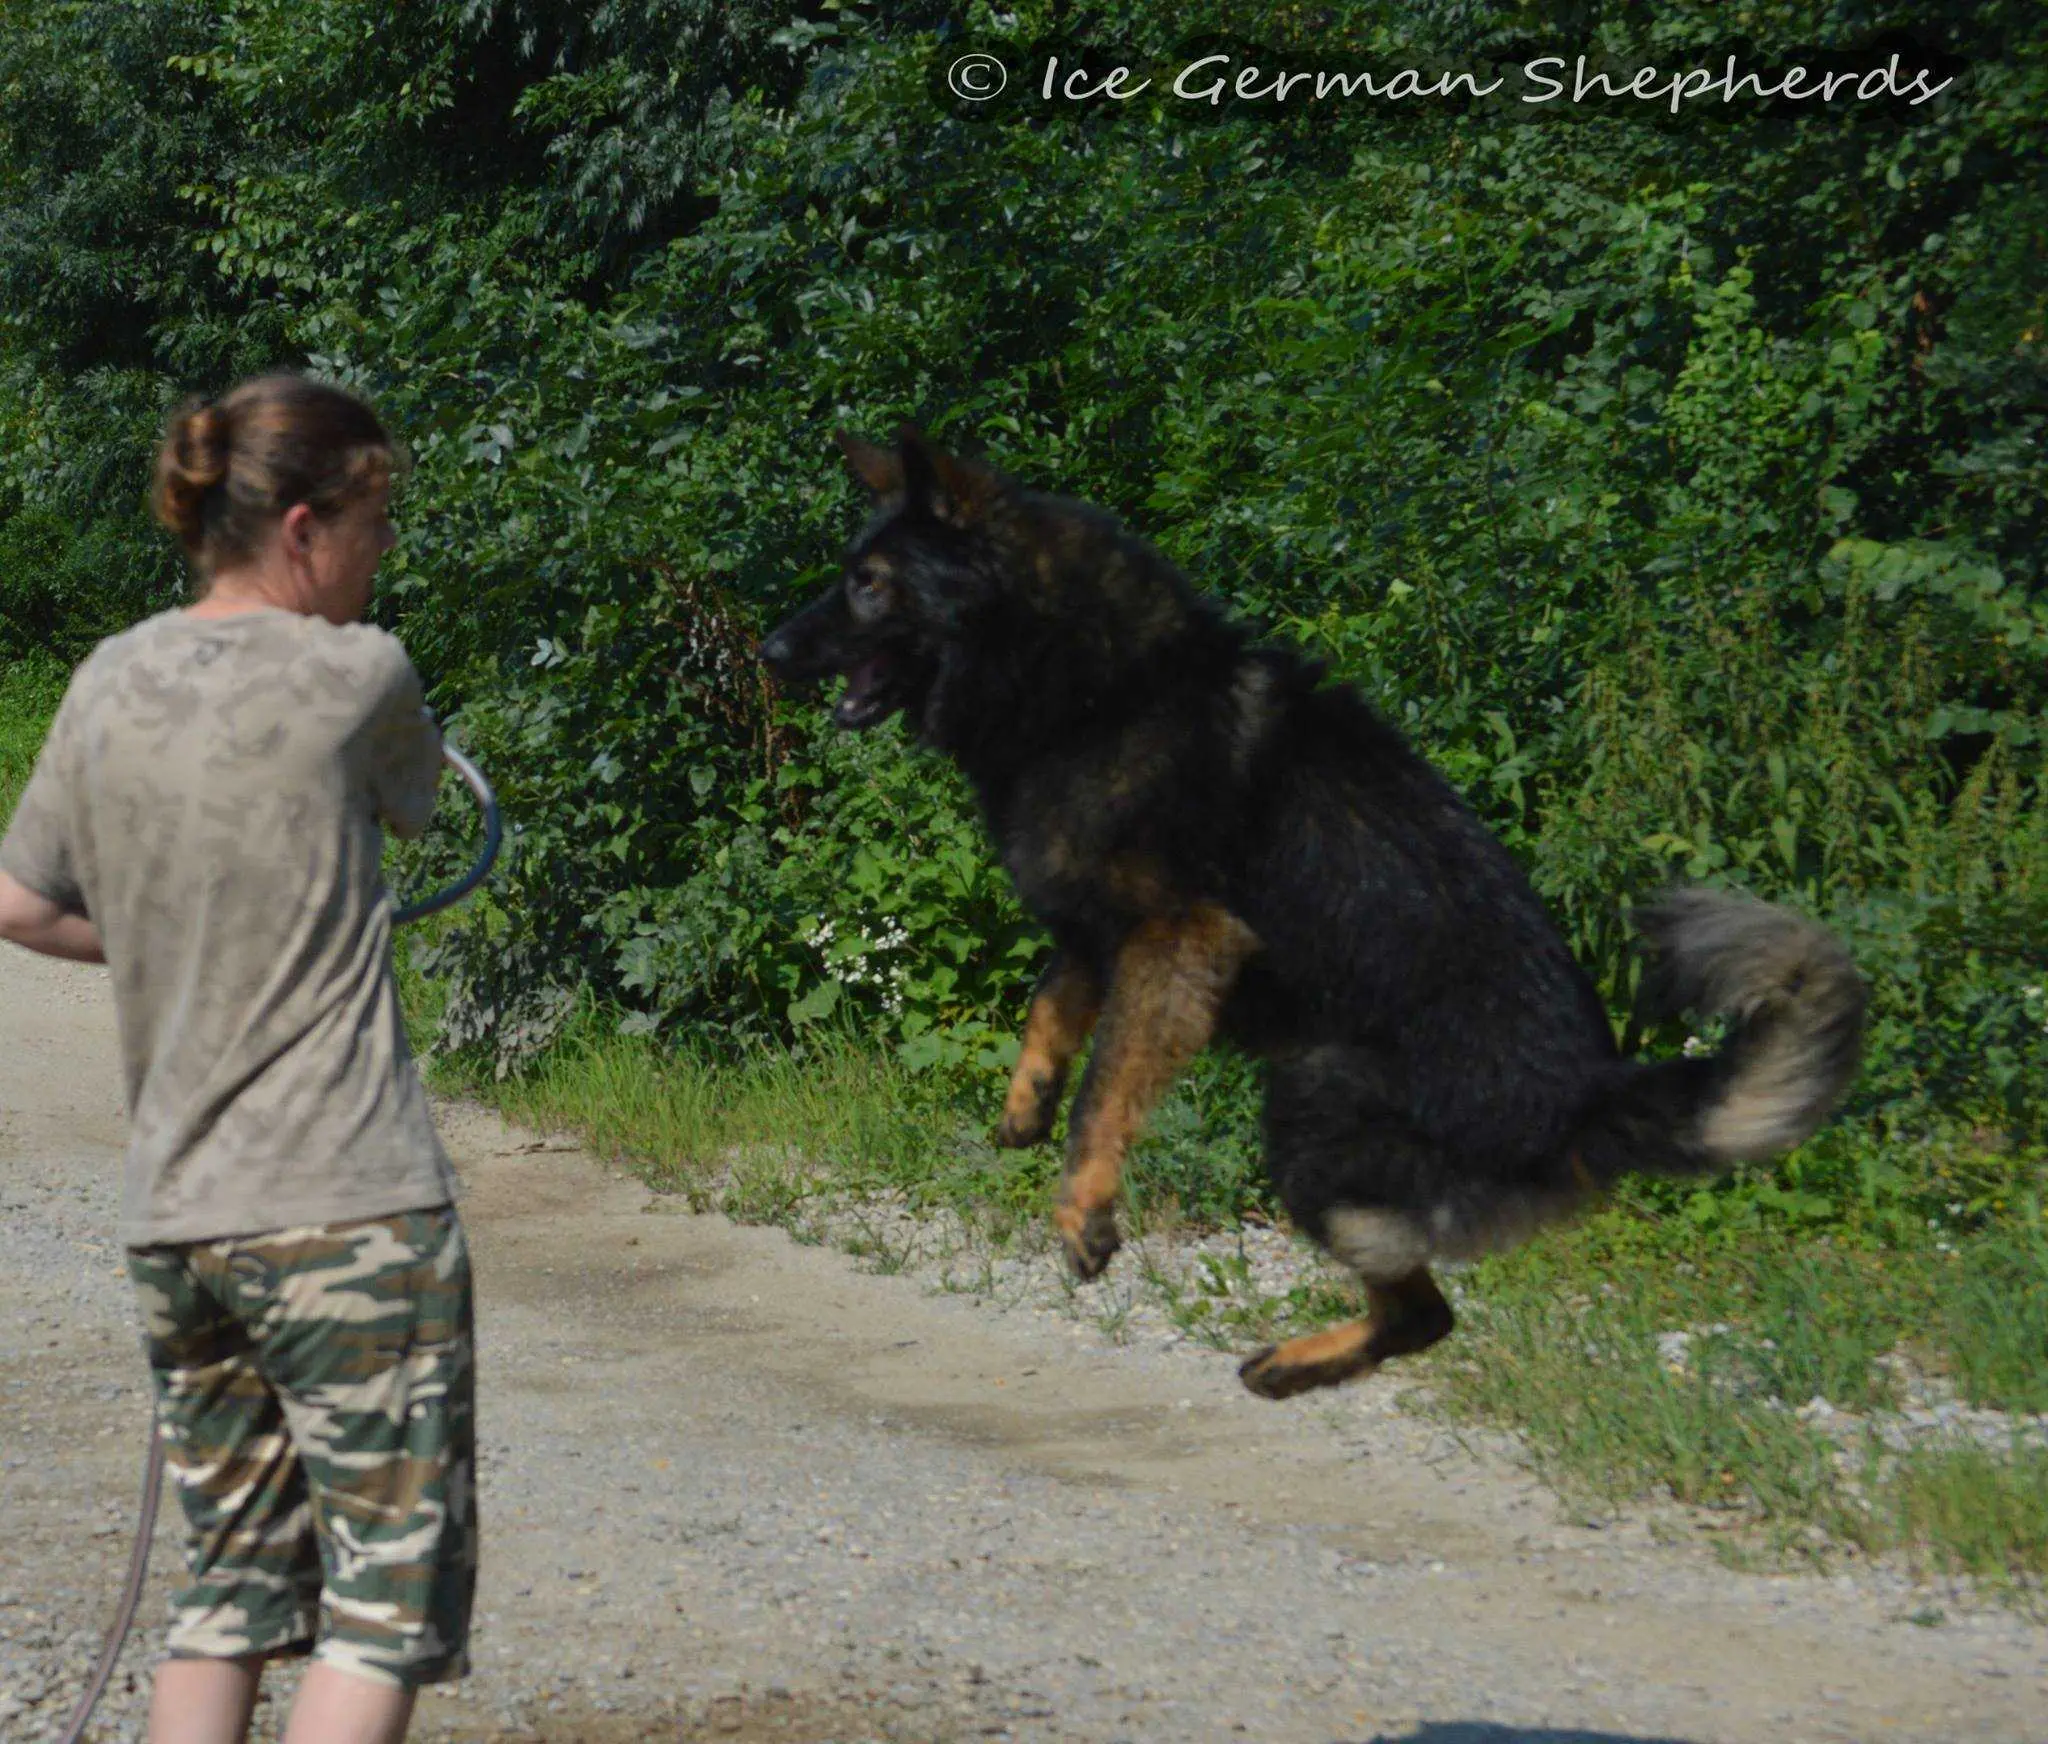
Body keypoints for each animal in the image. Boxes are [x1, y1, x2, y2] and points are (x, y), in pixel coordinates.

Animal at [758, 428, 1867, 1399]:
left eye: (868, 580)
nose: (768, 649)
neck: (1090, 687)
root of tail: (1589, 1095)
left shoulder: (1178, 938)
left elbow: (1105, 1087)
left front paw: (1082, 1203)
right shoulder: (1094, 929)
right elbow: (1050, 1013)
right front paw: (1023, 1106)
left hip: (1308, 1102)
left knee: (1422, 1313)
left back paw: (1298, 1359)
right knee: (1424, 1318)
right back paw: (1293, 1366)